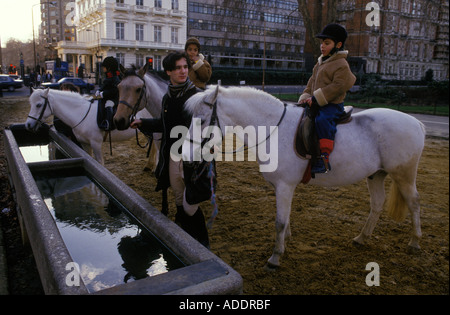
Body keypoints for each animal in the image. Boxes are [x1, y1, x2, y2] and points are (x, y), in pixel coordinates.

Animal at [25, 87, 153, 164]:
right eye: (30, 104)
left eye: (38, 105)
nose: (28, 125)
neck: (81, 113)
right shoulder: (84, 143)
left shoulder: (96, 143)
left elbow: (100, 163)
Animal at [182, 84, 426, 270]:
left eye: (202, 120)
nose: (186, 155)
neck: (272, 128)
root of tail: (417, 123)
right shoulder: (283, 187)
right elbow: (286, 218)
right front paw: (285, 242)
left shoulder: (284, 186)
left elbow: (280, 222)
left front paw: (275, 257)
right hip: (376, 175)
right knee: (377, 204)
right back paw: (362, 238)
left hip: (403, 174)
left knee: (414, 203)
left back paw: (415, 241)